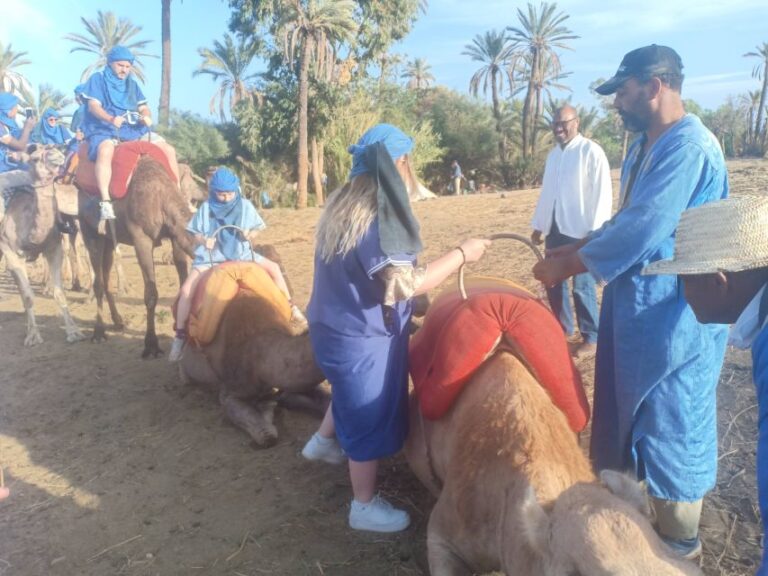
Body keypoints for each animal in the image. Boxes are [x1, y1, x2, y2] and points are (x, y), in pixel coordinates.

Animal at [0, 146, 85, 346]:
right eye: (35, 158)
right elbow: (28, 297)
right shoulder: (11, 252)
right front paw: (32, 336)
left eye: (51, 147)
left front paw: (74, 332)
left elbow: (59, 293)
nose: (56, 153)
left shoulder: (54, 248)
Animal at [77, 155, 207, 358]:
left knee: (105, 276)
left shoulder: (175, 235)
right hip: (88, 229)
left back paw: (118, 321)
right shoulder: (141, 239)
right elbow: (151, 294)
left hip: (108, 239)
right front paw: (151, 345)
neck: (160, 196)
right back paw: (99, 333)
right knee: (98, 281)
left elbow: (184, 284)